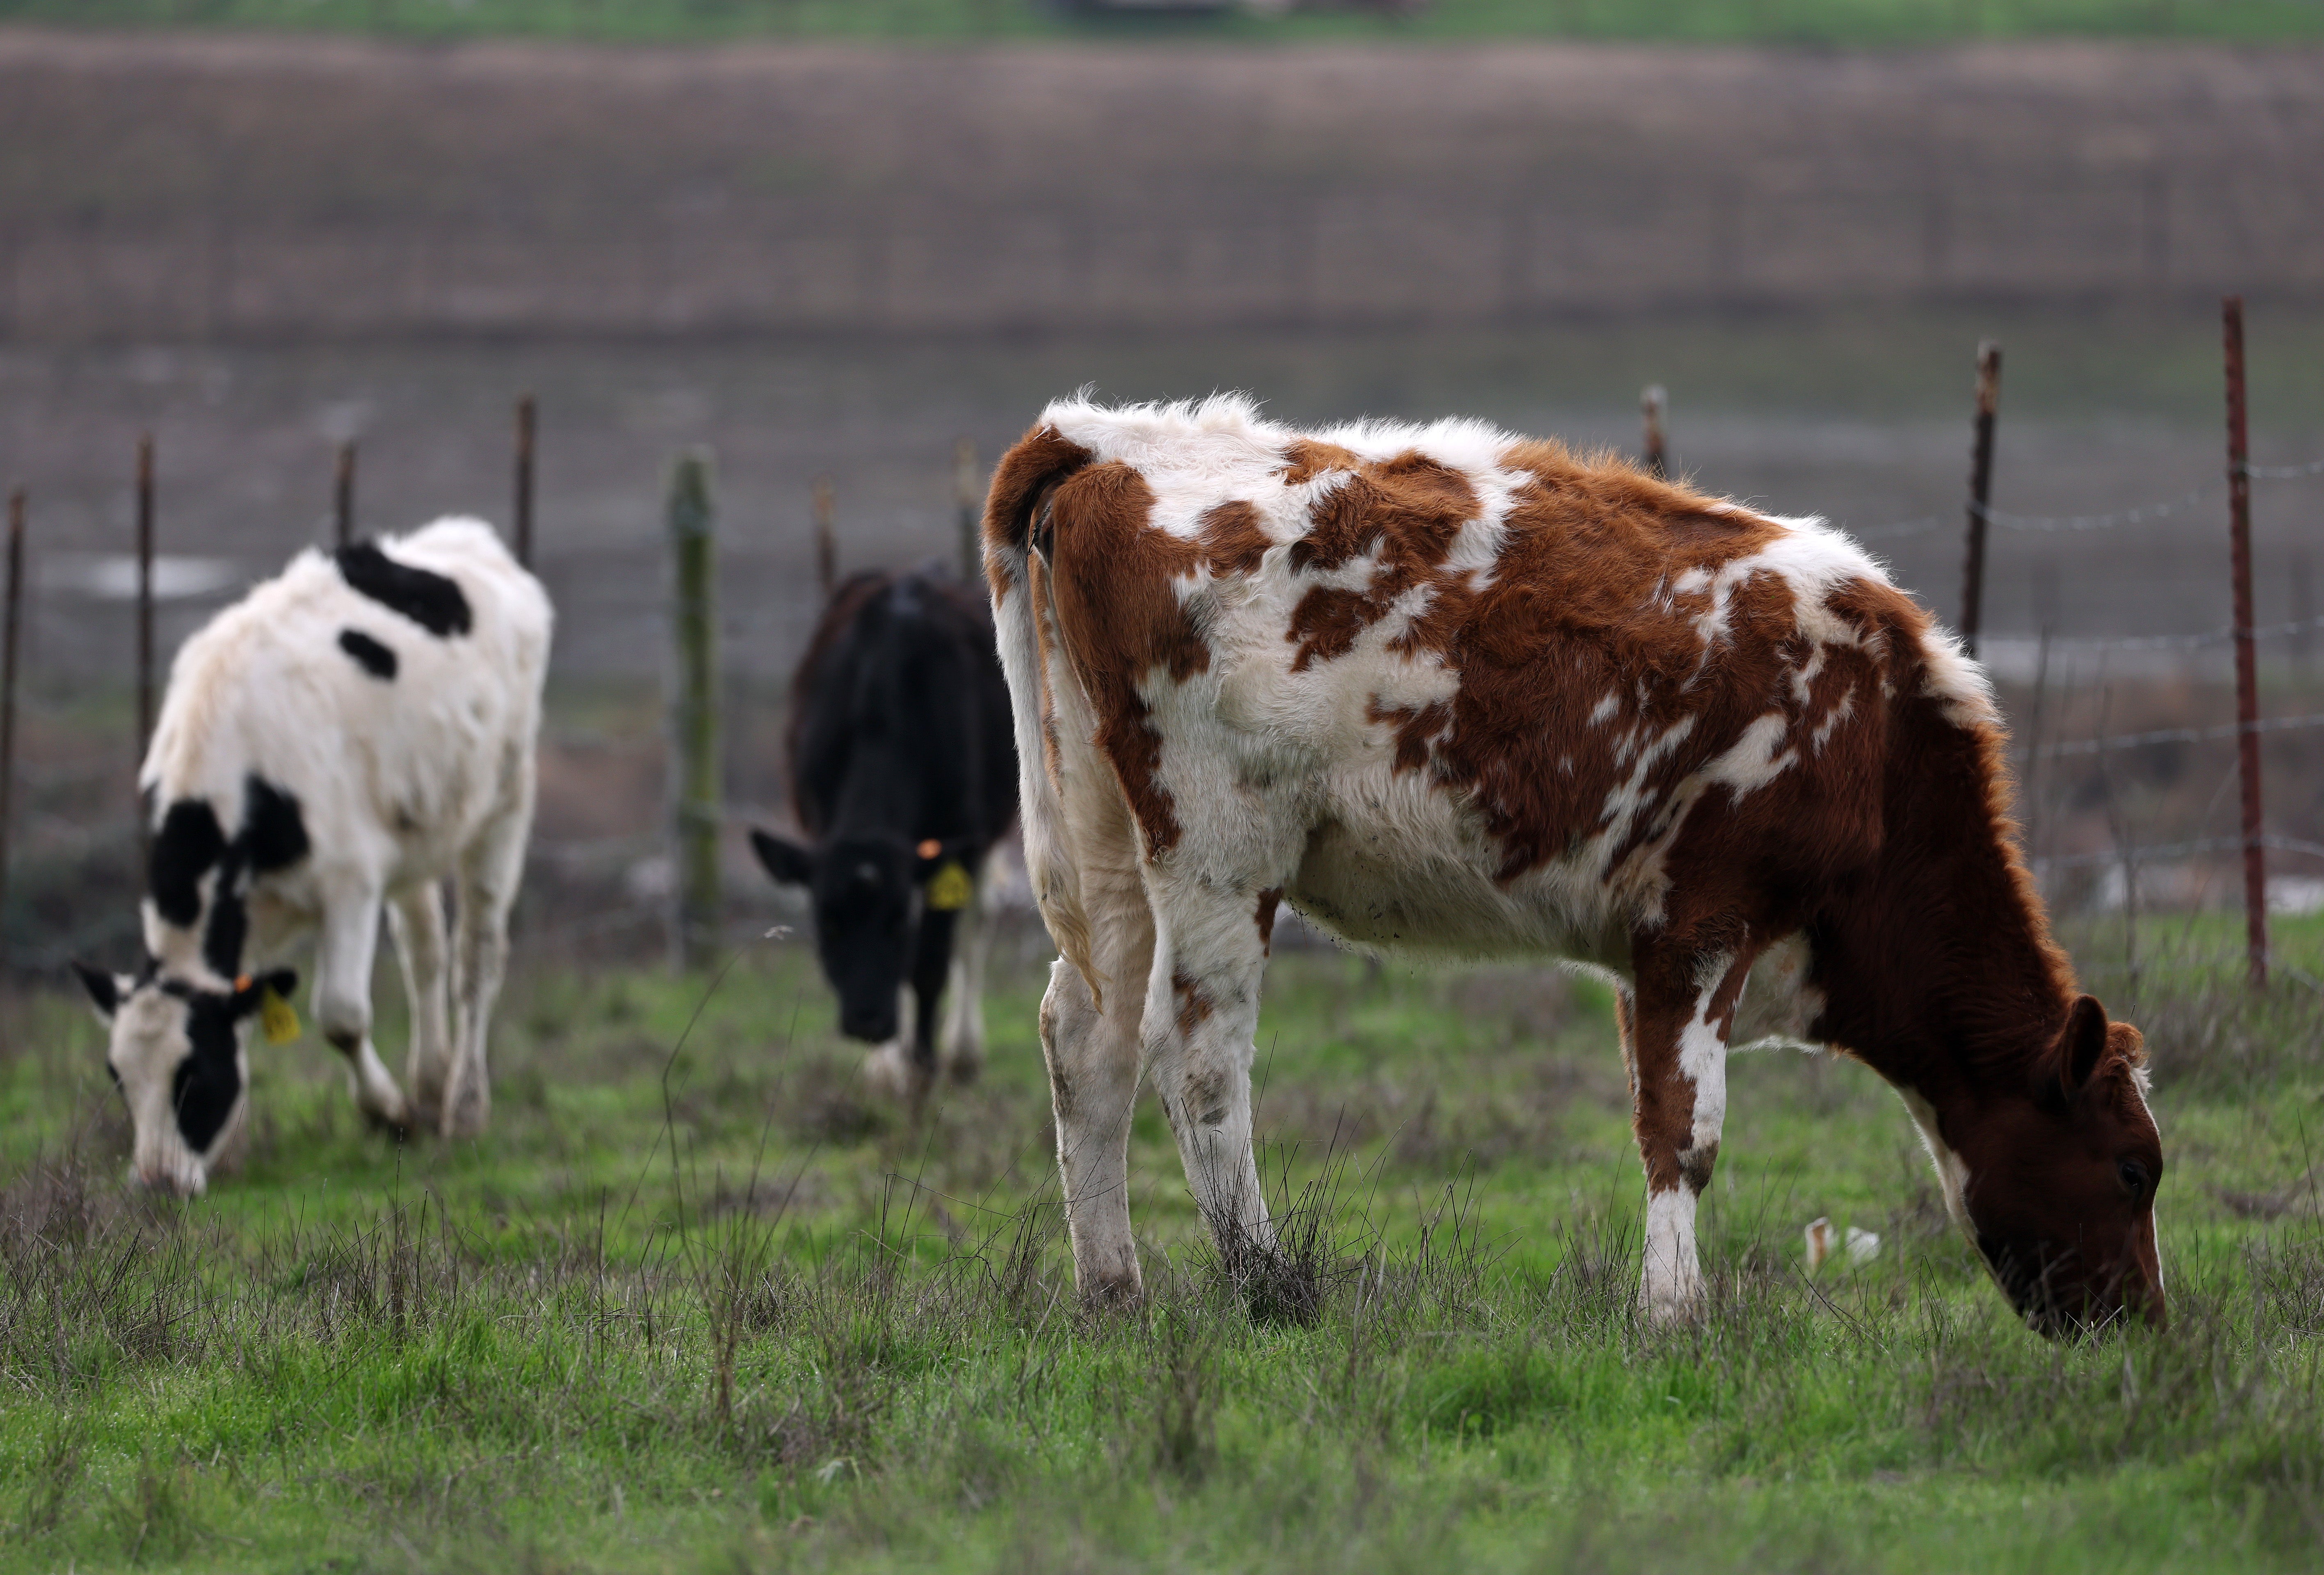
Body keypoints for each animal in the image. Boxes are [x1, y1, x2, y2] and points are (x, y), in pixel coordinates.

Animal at [78, 520, 553, 1199]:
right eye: (119, 1078)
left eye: (195, 1074)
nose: (158, 1183)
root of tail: (463, 535)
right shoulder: (252, 910)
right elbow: (249, 1011)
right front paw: (233, 1149)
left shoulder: (350, 882)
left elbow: (341, 1015)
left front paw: (389, 1115)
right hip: (415, 833)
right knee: (426, 954)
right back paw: (431, 1085)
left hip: (505, 802)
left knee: (476, 961)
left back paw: (462, 1107)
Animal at [753, 574, 1018, 1105]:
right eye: (828, 923)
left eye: (897, 922)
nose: (868, 1022)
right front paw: (889, 1068)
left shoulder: (961, 837)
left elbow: (930, 960)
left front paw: (922, 1068)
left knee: (976, 926)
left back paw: (961, 1055)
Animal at [981, 397, 2157, 1347]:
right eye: (2134, 1167)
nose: (2143, 1323)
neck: (1876, 743)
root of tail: (1105, 437)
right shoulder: (1704, 920)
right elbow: (1686, 1131)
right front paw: (1675, 1314)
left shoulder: (1649, 947)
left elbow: (1653, 1116)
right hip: (1220, 845)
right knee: (1200, 1063)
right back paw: (1270, 1284)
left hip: (1106, 840)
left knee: (1087, 1041)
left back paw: (1112, 1293)